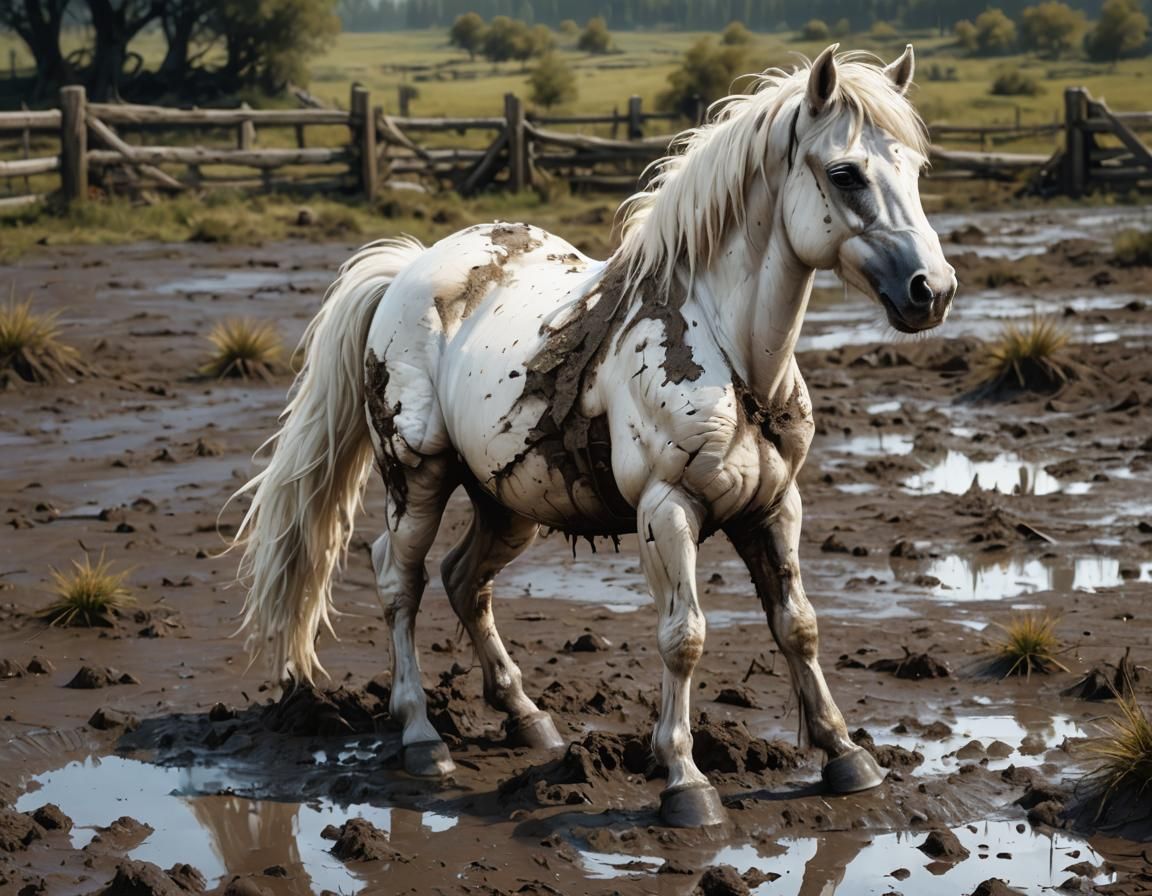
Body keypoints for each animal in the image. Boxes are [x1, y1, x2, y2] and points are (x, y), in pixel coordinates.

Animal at [232, 44, 956, 828]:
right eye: (846, 173)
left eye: (917, 168)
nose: (933, 290)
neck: (727, 348)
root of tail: (410, 270)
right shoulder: (666, 511)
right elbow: (683, 637)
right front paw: (684, 781)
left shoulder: (775, 506)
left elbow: (798, 624)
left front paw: (844, 754)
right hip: (417, 477)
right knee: (401, 578)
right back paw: (422, 737)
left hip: (509, 503)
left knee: (464, 580)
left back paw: (525, 716)